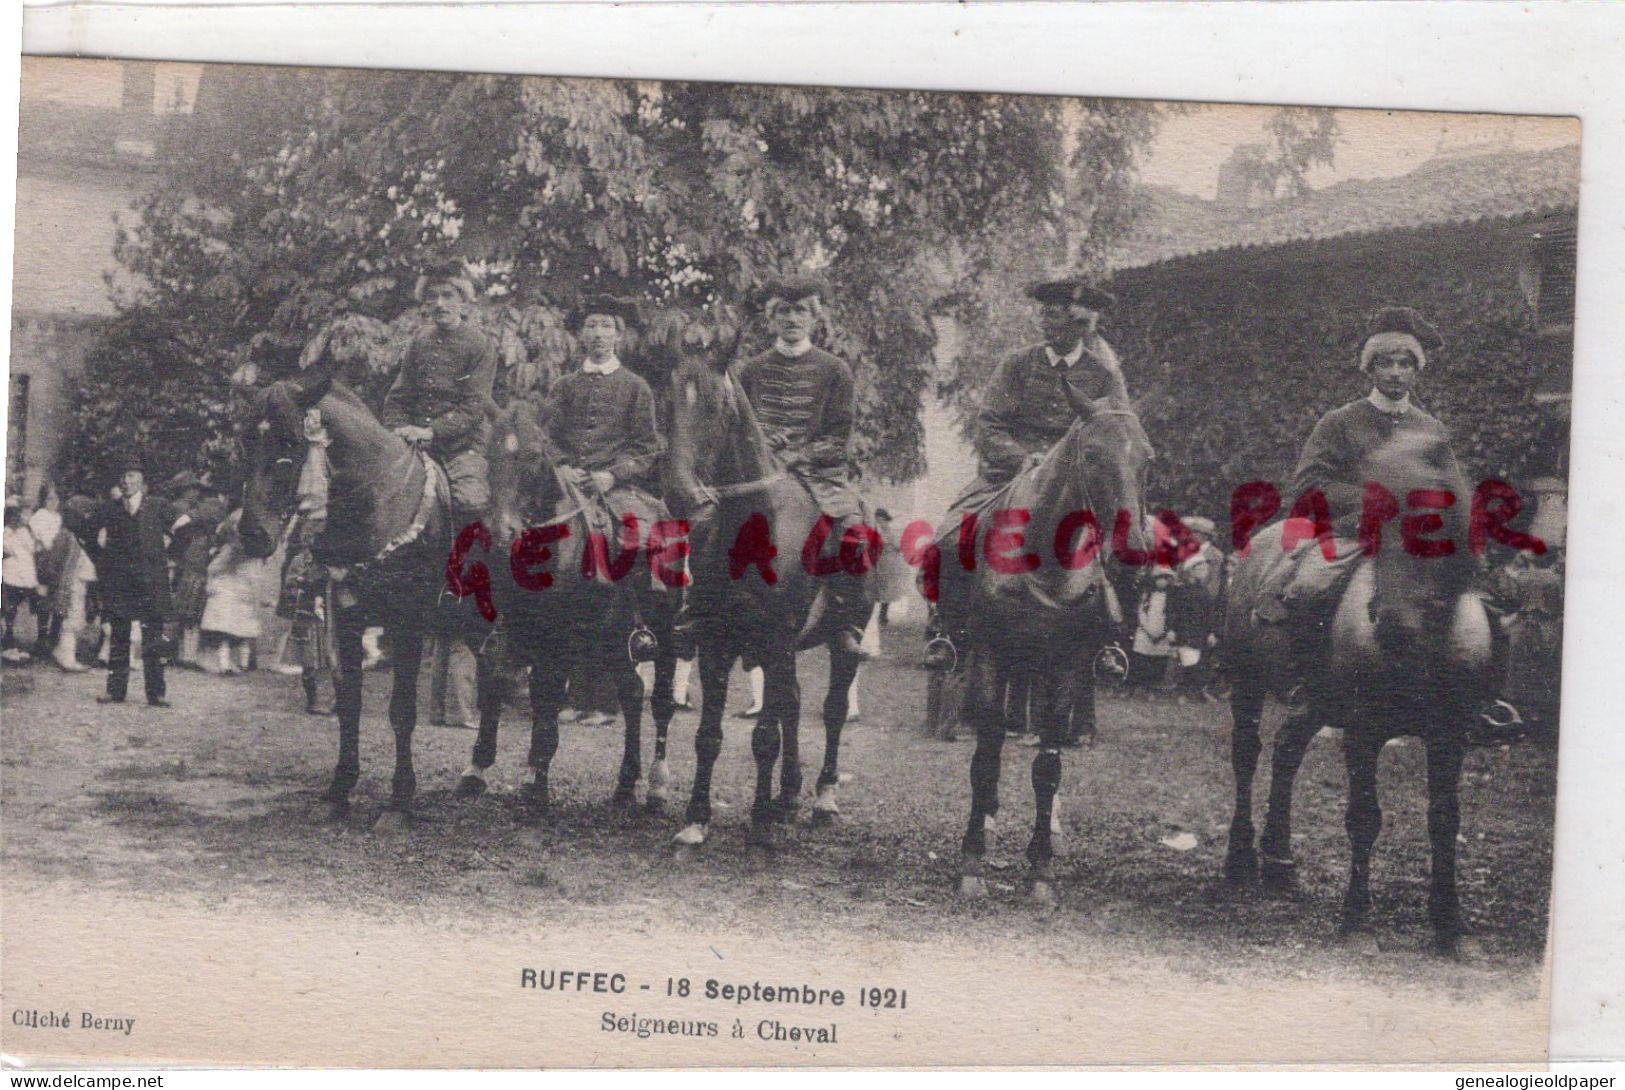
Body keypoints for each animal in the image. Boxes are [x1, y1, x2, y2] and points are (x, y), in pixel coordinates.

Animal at [237, 349, 497, 828]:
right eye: (246, 441)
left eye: (291, 443)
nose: (252, 534)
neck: (379, 504)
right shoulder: (346, 617)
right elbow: (350, 702)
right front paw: (338, 791)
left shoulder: (407, 625)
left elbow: (402, 711)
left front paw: (399, 802)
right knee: (495, 675)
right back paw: (477, 769)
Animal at [455, 401, 682, 818]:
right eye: (491, 457)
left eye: (532, 457)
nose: (501, 532)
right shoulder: (514, 627)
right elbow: (499, 680)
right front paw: (478, 767)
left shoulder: (557, 636)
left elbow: (545, 693)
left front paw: (537, 782)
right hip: (613, 638)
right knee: (631, 692)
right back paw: (625, 784)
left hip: (665, 631)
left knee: (659, 702)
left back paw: (656, 786)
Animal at [659, 349, 871, 851]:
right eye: (666, 402)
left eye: (717, 407)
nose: (679, 493)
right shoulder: (715, 643)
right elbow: (709, 736)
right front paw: (697, 819)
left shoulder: (774, 642)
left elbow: (763, 737)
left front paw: (759, 820)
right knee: (791, 704)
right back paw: (788, 795)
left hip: (840, 639)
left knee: (831, 711)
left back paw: (822, 798)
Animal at [949, 401, 1157, 903]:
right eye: (1093, 457)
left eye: (1148, 461)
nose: (1132, 554)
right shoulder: (990, 654)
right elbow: (985, 760)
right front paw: (972, 860)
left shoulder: (1065, 664)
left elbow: (1048, 767)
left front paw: (1041, 868)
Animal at [1222, 425, 1495, 955]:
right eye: (1378, 523)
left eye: (1435, 525)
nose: (1389, 624)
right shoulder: (1363, 732)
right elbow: (1364, 817)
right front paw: (1355, 914)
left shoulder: (1450, 736)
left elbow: (1445, 819)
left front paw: (1448, 920)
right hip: (1246, 681)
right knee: (1247, 755)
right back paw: (1240, 857)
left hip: (1315, 703)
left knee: (1287, 750)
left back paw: (1279, 861)